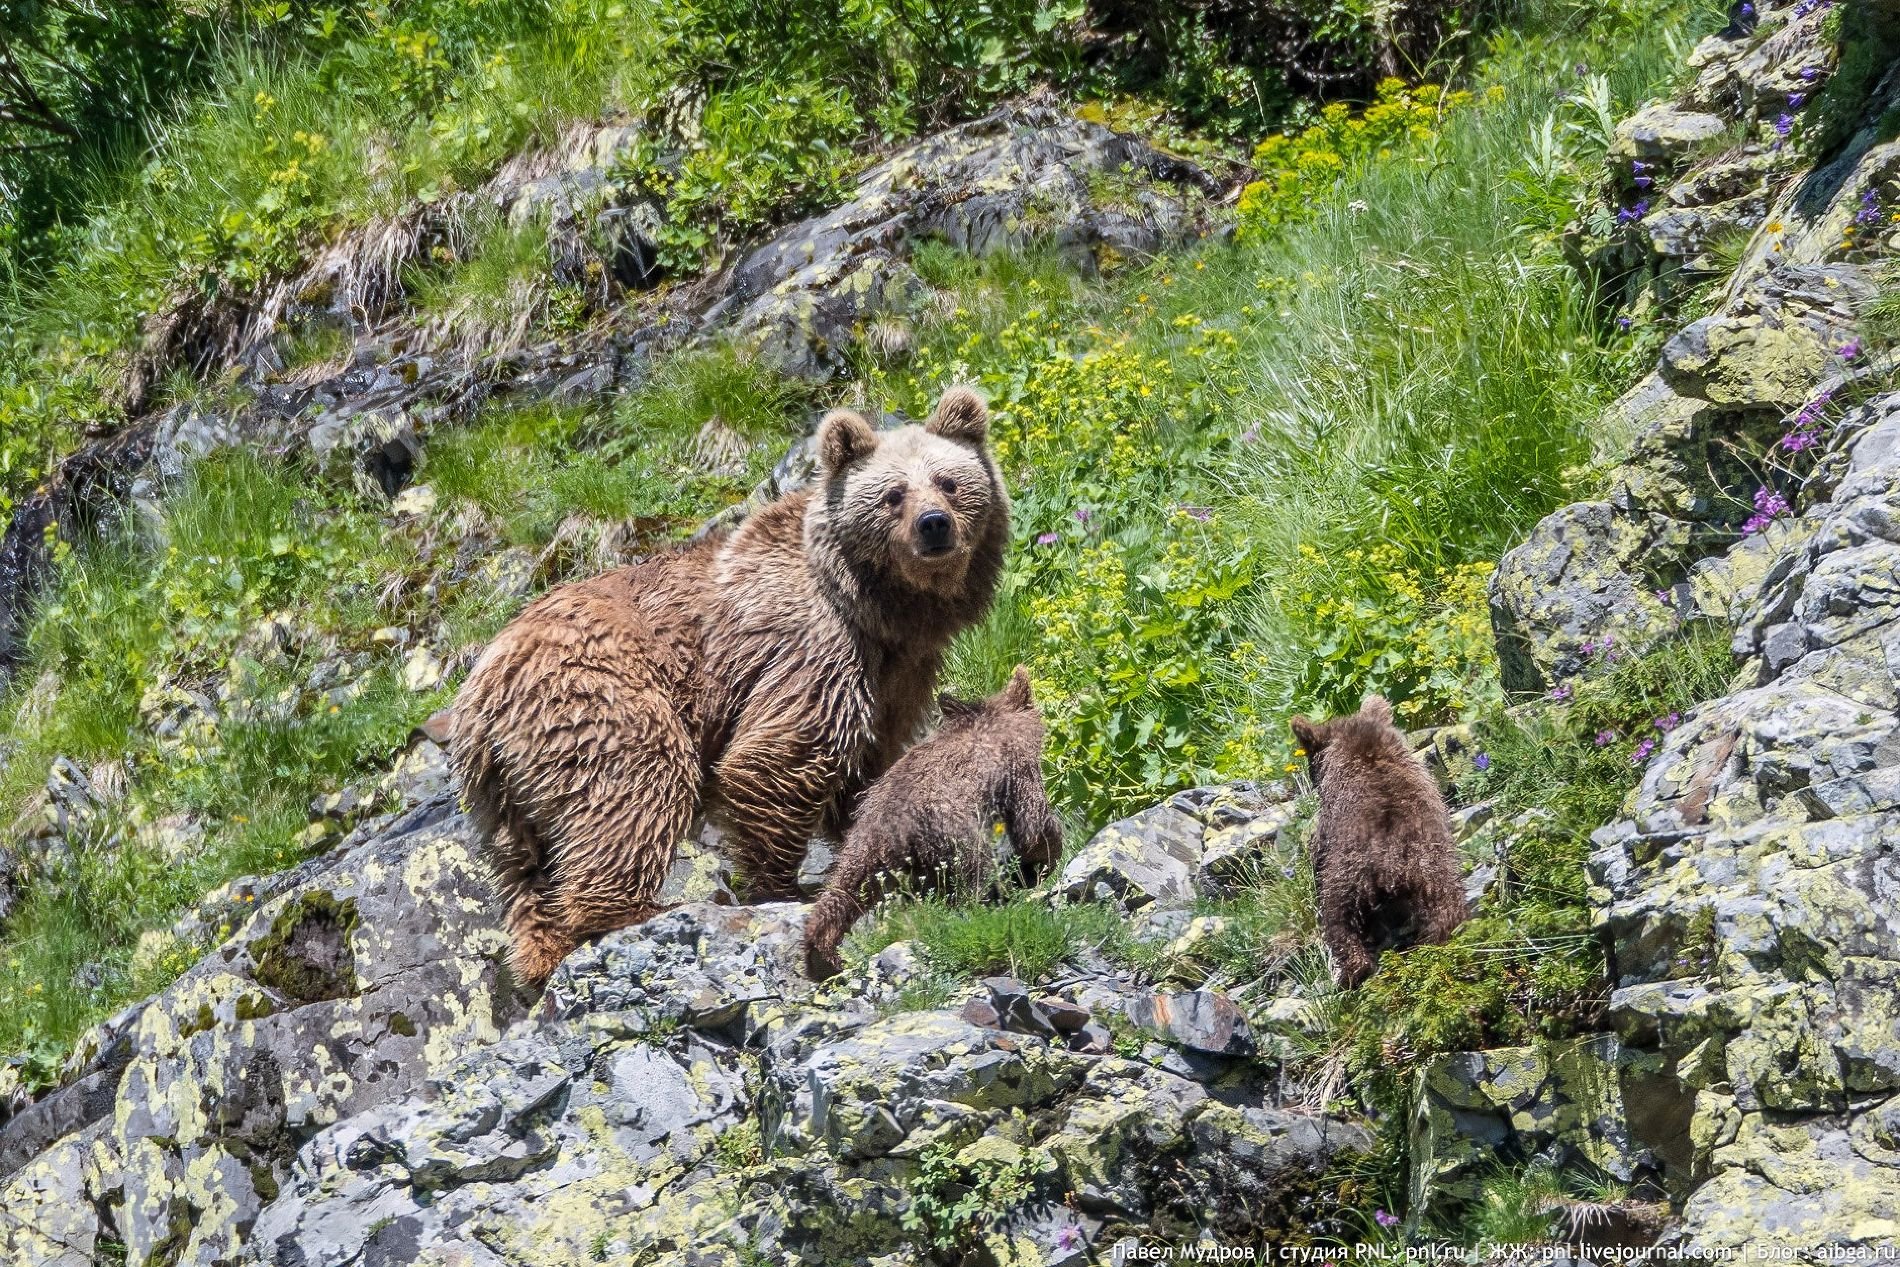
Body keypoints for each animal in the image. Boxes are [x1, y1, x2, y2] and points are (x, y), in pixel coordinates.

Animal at [448, 391, 1010, 987]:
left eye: (949, 482)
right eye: (893, 494)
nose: (934, 525)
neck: (881, 607)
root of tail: (479, 691)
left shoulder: (900, 673)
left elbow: (870, 762)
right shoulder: (812, 644)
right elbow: (785, 754)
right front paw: (782, 886)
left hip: (504, 790)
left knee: (524, 865)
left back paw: (539, 948)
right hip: (598, 700)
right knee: (635, 786)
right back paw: (633, 909)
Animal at [805, 668, 1071, 987]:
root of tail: (886, 837)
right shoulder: (1017, 769)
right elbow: (1034, 822)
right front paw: (1044, 861)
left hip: (864, 855)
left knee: (840, 895)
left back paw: (821, 957)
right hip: (954, 841)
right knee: (974, 877)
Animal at [1292, 699, 1466, 987]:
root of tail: (1391, 868)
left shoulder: (1329, 820)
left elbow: (1317, 848)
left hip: (1346, 879)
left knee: (1340, 921)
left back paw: (1351, 972)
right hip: (1435, 872)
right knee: (1445, 909)